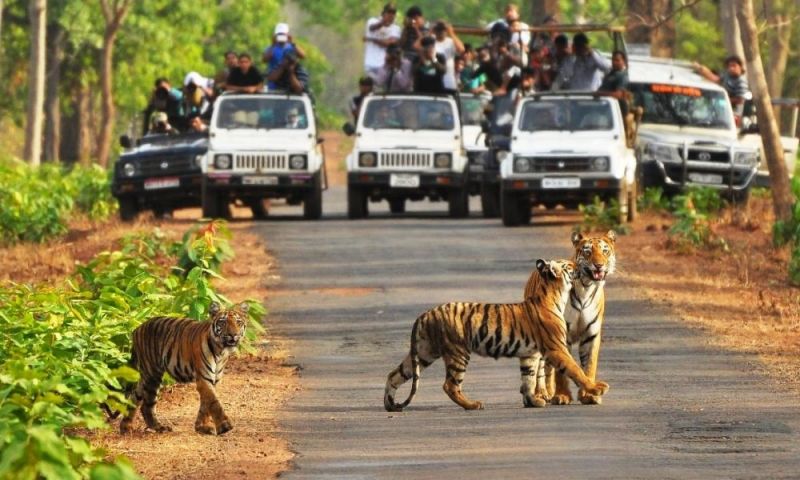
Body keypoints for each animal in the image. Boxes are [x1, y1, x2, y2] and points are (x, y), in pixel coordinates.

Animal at [119, 301, 249, 435]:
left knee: (135, 397)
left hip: (146, 375)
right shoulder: (204, 378)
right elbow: (214, 402)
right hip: (152, 374)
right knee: (146, 405)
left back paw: (126, 427)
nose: (233, 335)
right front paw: (224, 426)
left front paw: (202, 427)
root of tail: (137, 329)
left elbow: (205, 404)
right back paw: (159, 427)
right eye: (223, 322)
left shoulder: (214, 379)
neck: (221, 351)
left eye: (238, 322)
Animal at [384, 259, 609, 412]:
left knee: (394, 374)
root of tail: (425, 314)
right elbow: (576, 370)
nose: (580, 265)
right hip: (458, 352)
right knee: (450, 385)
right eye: (569, 265)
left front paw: (532, 401)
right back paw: (473, 404)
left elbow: (528, 379)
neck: (554, 295)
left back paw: (390, 404)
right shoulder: (556, 348)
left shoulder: (530, 354)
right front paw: (597, 388)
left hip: (424, 352)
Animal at [523, 230, 616, 406]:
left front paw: (589, 395)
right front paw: (562, 395)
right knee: (540, 367)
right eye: (587, 252)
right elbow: (562, 371)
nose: (599, 265)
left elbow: (589, 365)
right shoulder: (561, 334)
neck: (586, 287)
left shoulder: (591, 334)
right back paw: (541, 394)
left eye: (605, 251)